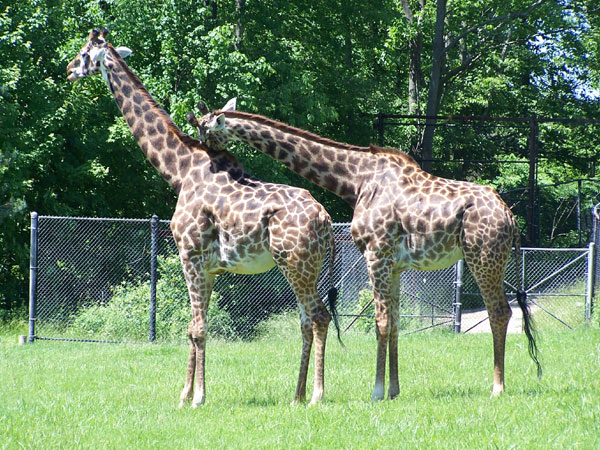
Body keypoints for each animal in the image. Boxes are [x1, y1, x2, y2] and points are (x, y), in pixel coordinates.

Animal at [66, 29, 342, 408]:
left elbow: (197, 328)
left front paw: (195, 397)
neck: (179, 170)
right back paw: (296, 395)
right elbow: (196, 326)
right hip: (305, 266)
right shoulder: (209, 267)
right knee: (305, 319)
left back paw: (316, 395)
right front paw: (188, 394)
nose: (68, 70)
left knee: (318, 316)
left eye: (83, 53)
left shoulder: (190, 255)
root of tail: (325, 220)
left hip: (295, 262)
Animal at [190, 99, 540, 400]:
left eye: (204, 129)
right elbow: (394, 322)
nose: (207, 158)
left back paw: (497, 387)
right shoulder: (395, 265)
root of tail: (510, 216)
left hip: (483, 257)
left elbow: (379, 322)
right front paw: (394, 390)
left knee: (500, 312)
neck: (354, 181)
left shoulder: (376, 254)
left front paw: (376, 392)